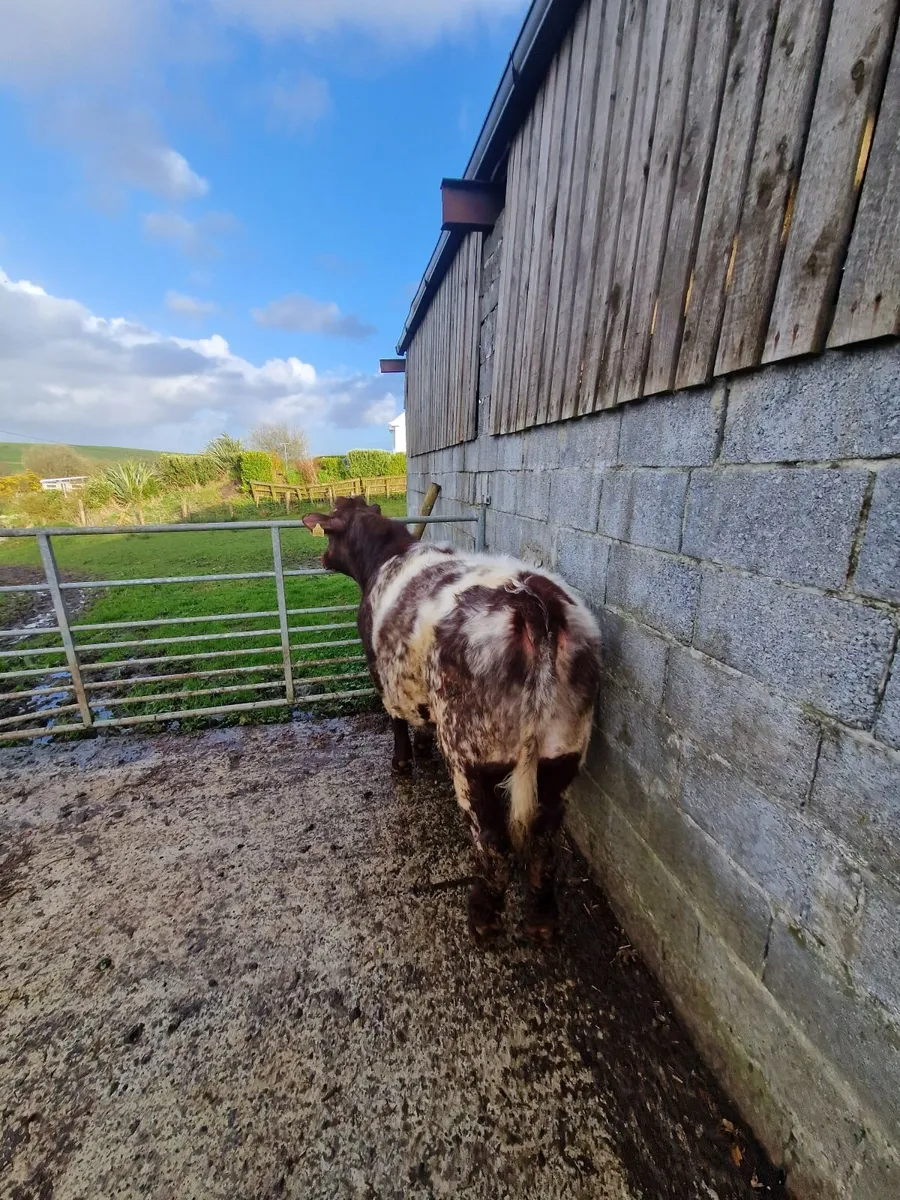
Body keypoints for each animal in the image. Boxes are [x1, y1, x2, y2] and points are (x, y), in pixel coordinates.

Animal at [302, 497, 602, 943]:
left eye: (333, 523)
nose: (321, 557)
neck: (385, 557)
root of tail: (531, 603)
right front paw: (423, 746)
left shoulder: (382, 675)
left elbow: (397, 719)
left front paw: (403, 761)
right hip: (562, 752)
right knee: (546, 837)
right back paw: (543, 920)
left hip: (470, 753)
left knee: (493, 840)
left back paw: (482, 916)